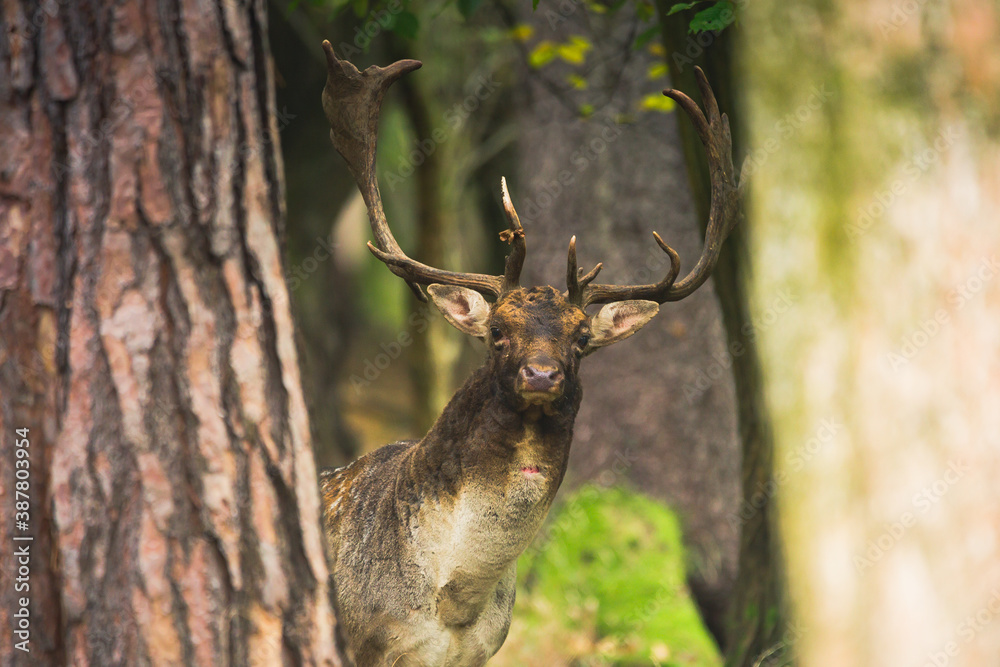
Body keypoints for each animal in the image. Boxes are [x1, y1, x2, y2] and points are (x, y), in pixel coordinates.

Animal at [318, 40, 744, 667]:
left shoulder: (482, 651)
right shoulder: (366, 643)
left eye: (581, 340)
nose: (541, 374)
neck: (451, 602)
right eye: (497, 331)